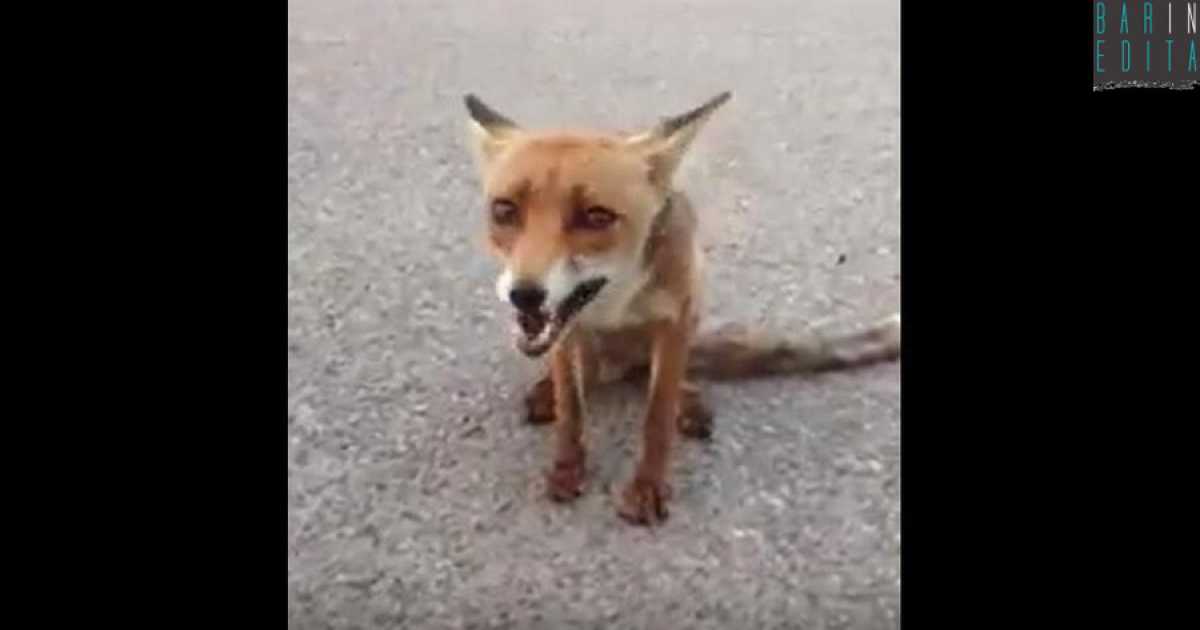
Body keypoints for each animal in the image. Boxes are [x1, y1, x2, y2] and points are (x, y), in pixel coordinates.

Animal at [463, 91, 900, 525]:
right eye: (504, 210)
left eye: (597, 216)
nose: (524, 294)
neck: (616, 303)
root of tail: (623, 359)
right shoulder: (566, 331)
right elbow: (571, 411)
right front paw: (568, 469)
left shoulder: (674, 321)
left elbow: (658, 415)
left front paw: (647, 487)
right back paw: (549, 392)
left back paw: (688, 402)